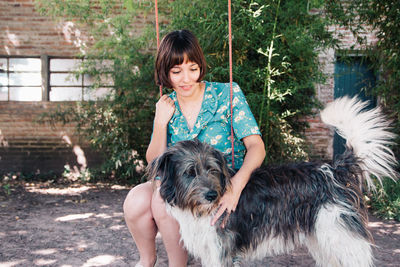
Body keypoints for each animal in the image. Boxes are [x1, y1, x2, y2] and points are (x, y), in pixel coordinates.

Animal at [147, 98, 396, 267]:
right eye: (190, 172)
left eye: (212, 170)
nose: (211, 196)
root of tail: (335, 169)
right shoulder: (211, 250)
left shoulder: (222, 250)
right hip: (322, 236)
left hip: (340, 234)